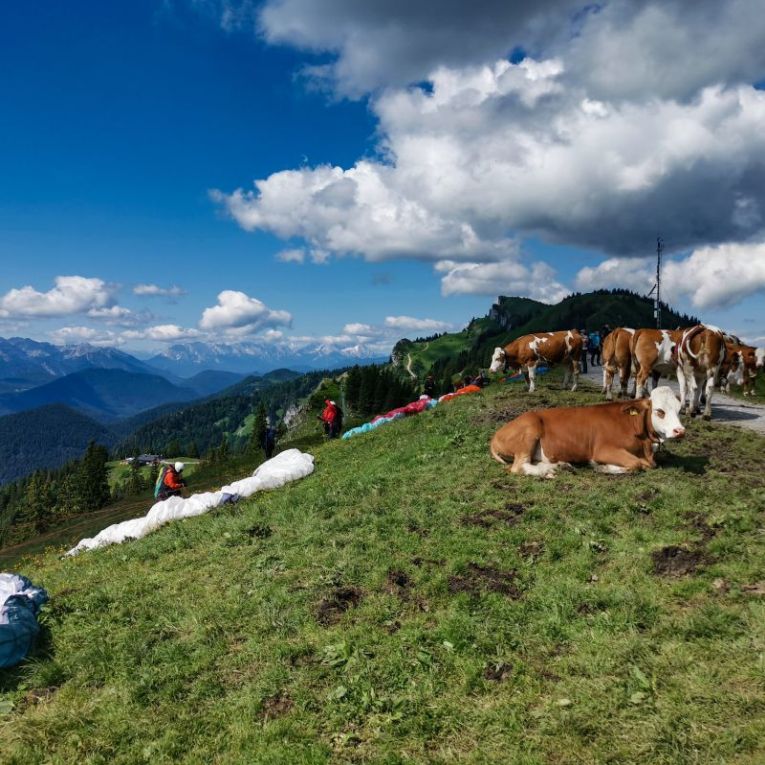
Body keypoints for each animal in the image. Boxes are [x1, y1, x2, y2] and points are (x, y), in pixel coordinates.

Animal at [492, 384, 684, 474]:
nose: (680, 431)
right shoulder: (603, 449)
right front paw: (602, 467)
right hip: (529, 430)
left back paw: (561, 465)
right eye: (659, 411)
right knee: (519, 467)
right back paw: (549, 471)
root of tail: (495, 436)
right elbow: (637, 464)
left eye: (679, 409)